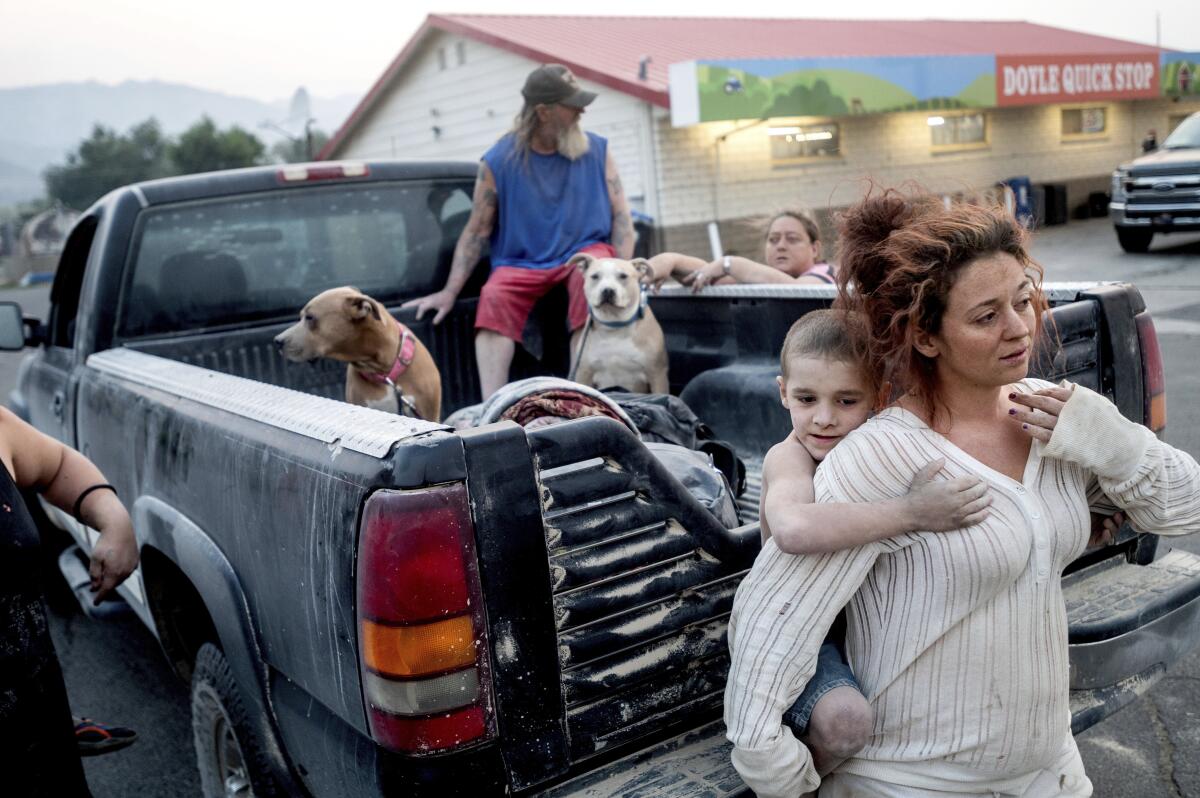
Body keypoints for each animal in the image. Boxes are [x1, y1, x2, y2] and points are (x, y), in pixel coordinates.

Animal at [568, 253, 672, 393]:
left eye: (623, 276)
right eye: (595, 276)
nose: (607, 290)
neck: (614, 324)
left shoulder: (657, 375)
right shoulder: (583, 374)